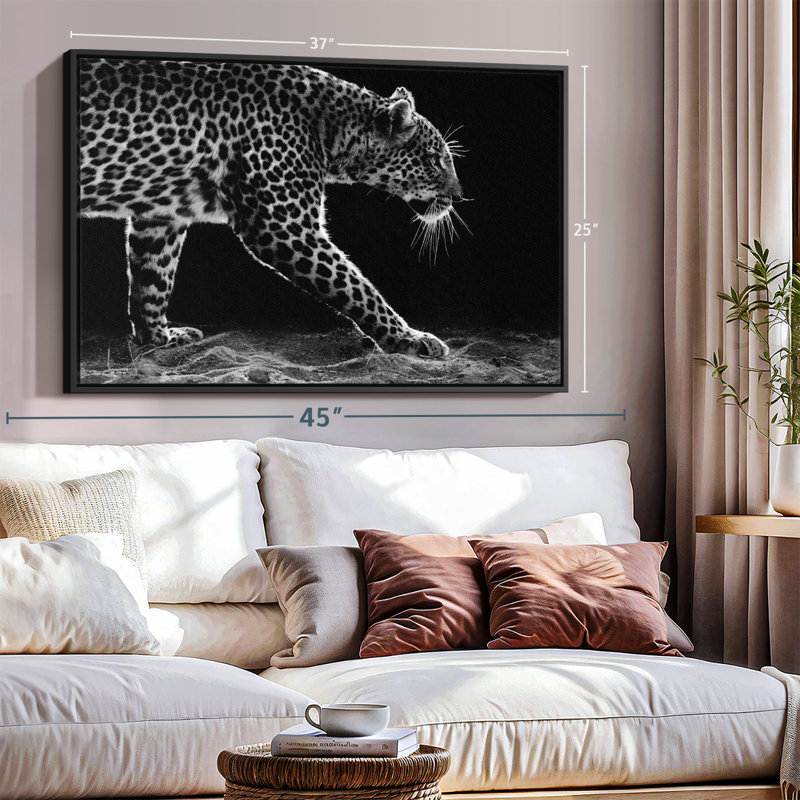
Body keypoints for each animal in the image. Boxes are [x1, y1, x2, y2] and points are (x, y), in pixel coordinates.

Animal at [78, 56, 466, 358]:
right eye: (435, 160)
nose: (459, 196)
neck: (334, 130)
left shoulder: (162, 215)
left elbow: (153, 278)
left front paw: (159, 338)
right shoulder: (285, 226)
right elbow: (357, 287)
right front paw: (409, 338)